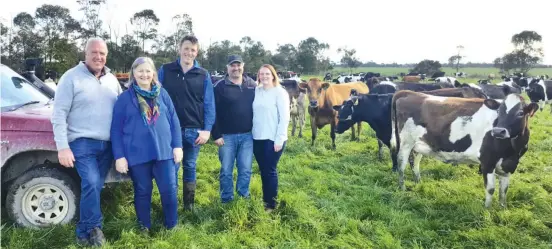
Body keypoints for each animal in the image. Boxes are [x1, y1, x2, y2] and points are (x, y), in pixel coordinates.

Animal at [390, 91, 536, 208]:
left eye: (520, 113)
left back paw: (418, 183)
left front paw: (502, 208)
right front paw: (487, 210)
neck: (511, 149)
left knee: (415, 162)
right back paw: (402, 188)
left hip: (420, 144)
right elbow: (490, 189)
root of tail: (409, 93)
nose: (498, 131)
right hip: (406, 142)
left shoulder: (509, 165)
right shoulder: (487, 162)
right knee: (401, 164)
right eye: (499, 112)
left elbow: (504, 190)